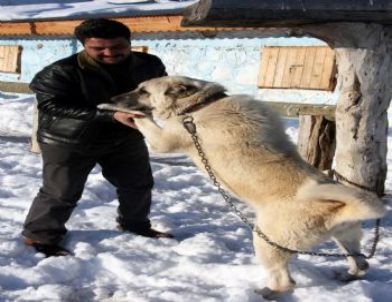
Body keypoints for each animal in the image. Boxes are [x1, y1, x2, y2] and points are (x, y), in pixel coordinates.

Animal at [99, 75, 386, 298]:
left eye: (143, 91)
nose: (111, 97)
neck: (200, 105)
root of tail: (337, 207)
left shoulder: (164, 139)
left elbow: (142, 119)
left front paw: (119, 111)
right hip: (346, 238)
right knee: (361, 263)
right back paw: (347, 275)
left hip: (265, 243)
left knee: (286, 282)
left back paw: (265, 292)